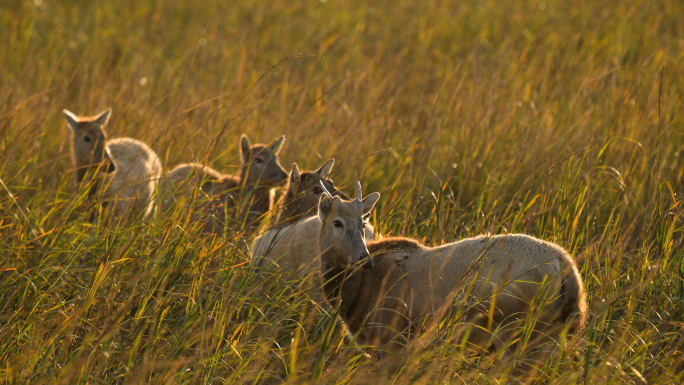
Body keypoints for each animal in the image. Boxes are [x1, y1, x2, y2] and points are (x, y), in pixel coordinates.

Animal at [316, 182, 588, 362]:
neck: (358, 293)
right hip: (550, 333)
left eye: (363, 224)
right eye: (337, 222)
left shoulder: (390, 338)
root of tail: (566, 267)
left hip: (515, 331)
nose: (364, 260)